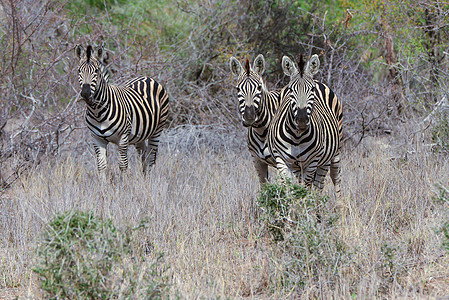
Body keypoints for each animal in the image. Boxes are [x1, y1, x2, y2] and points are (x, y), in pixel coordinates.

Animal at [74, 45, 169, 175]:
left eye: (96, 71)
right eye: (79, 71)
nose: (85, 93)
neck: (98, 111)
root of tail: (147, 77)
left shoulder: (123, 137)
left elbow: (123, 165)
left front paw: (125, 181)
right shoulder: (96, 138)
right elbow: (101, 166)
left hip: (157, 130)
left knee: (151, 158)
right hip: (139, 135)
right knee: (143, 155)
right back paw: (144, 178)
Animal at [266, 54, 344, 199]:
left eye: (312, 89)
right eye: (290, 90)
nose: (302, 120)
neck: (297, 136)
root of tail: (318, 81)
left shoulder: (313, 161)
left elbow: (307, 189)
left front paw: (304, 204)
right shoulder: (281, 159)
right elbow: (288, 187)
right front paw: (290, 204)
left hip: (333, 154)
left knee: (332, 180)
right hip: (299, 166)